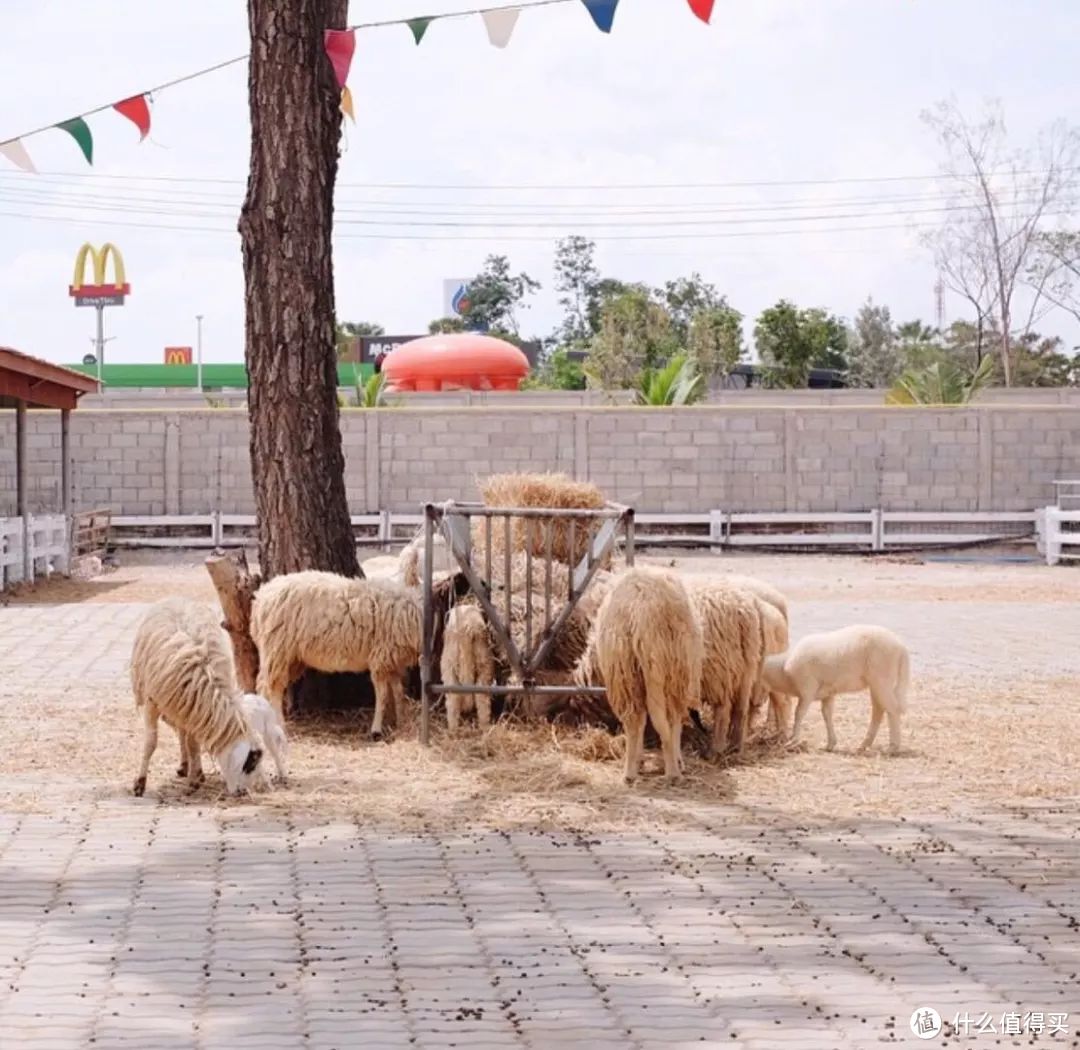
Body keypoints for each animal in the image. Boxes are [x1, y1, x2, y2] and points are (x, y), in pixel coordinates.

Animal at [130, 600, 265, 795]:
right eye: (250, 764)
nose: (243, 792)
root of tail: (175, 598)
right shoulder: (153, 702)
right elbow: (151, 743)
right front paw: (140, 783)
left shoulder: (195, 708)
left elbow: (193, 743)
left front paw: (195, 778)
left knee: (185, 734)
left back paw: (190, 767)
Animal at [254, 566, 475, 738]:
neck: (418, 613)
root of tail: (261, 597)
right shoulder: (381, 658)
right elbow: (383, 695)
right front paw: (376, 729)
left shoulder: (393, 661)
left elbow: (397, 691)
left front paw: (401, 721)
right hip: (277, 649)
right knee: (270, 687)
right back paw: (279, 725)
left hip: (291, 657)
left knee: (269, 686)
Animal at [438, 604, 496, 734]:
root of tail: (467, 628)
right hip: (482, 661)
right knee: (480, 696)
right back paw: (483, 728)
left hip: (450, 665)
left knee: (455, 699)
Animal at [574, 570, 699, 782]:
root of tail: (642, 611)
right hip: (669, 669)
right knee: (669, 720)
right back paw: (672, 770)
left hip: (625, 670)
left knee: (636, 721)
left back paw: (631, 772)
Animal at [760, 622, 911, 756]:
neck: (783, 669)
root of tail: (901, 647)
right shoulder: (828, 694)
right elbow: (827, 715)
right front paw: (830, 744)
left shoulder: (807, 690)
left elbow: (799, 713)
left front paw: (792, 741)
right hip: (875, 683)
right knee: (878, 710)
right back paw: (864, 745)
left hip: (882, 678)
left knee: (893, 709)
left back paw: (893, 747)